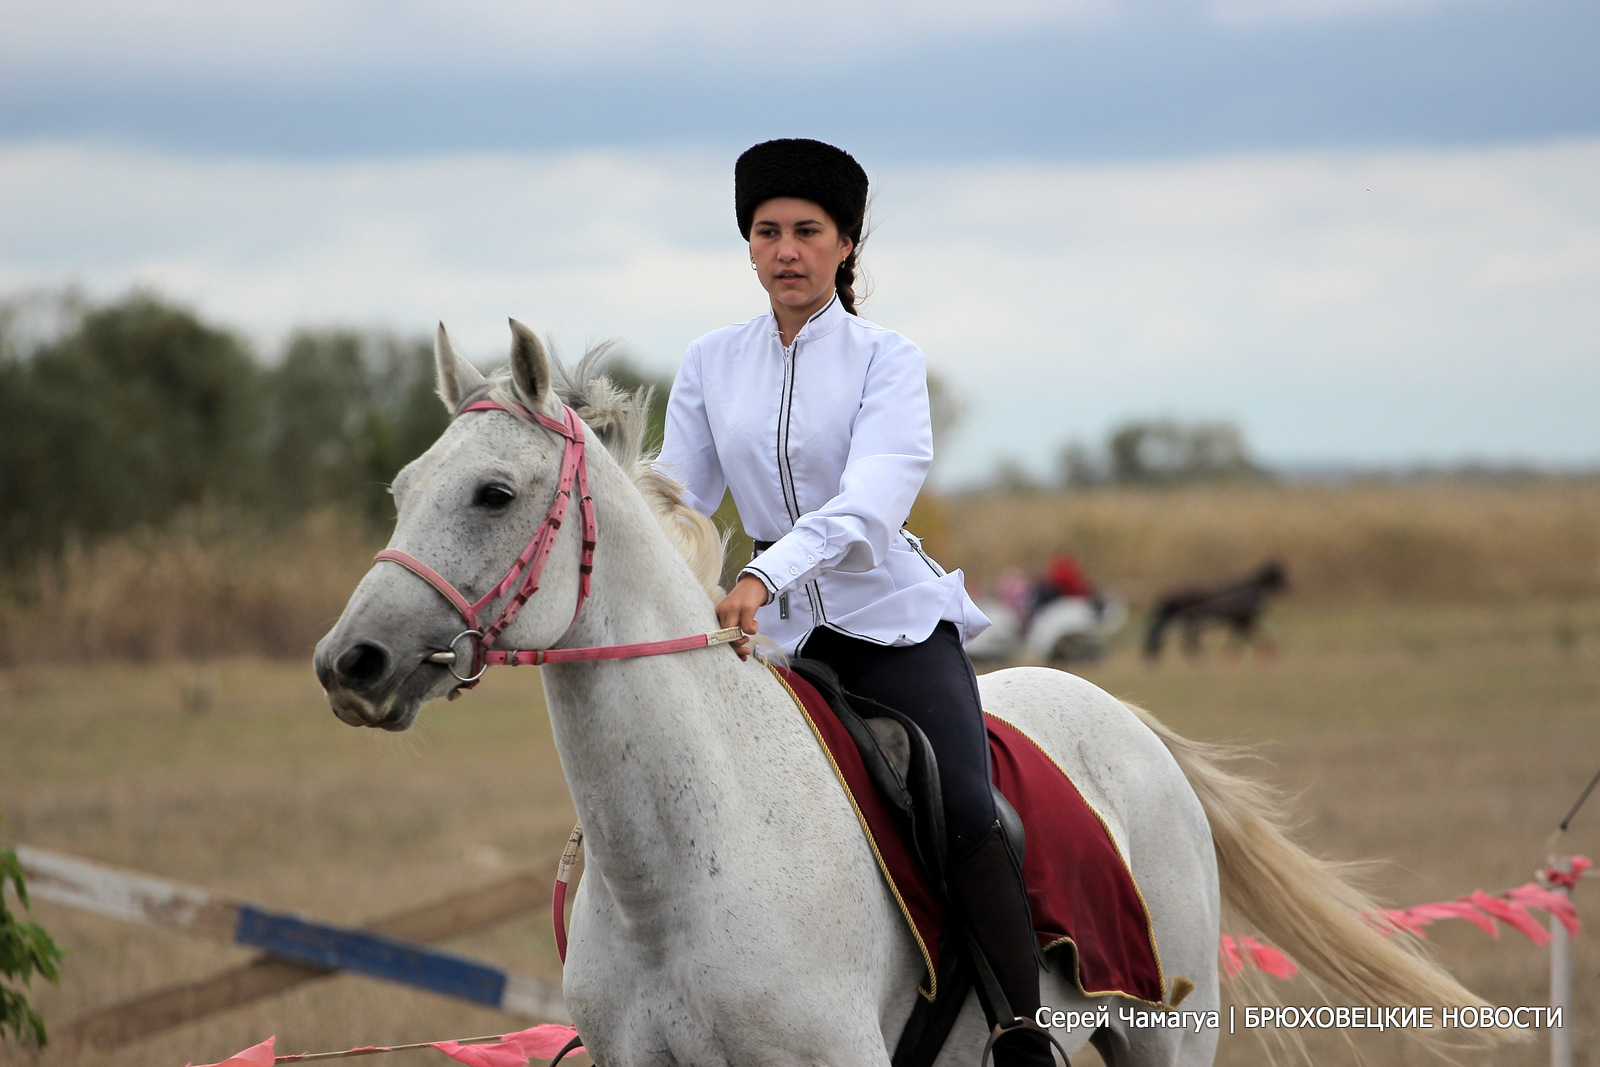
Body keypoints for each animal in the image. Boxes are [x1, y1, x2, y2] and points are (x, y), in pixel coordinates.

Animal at [1145, 563, 1292, 662]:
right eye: (1279, 575)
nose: (1289, 589)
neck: (1249, 592)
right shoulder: (1243, 620)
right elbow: (1253, 635)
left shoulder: (1238, 621)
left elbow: (1242, 638)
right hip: (1194, 618)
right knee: (1189, 638)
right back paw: (1198, 657)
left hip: (1193, 619)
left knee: (1189, 638)